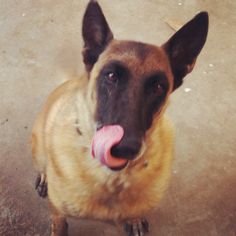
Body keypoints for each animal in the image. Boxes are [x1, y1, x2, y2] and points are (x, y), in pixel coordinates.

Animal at [31, 0, 208, 235]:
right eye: (111, 76)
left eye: (158, 87)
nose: (125, 148)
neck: (112, 180)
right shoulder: (58, 213)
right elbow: (59, 224)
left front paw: (134, 220)